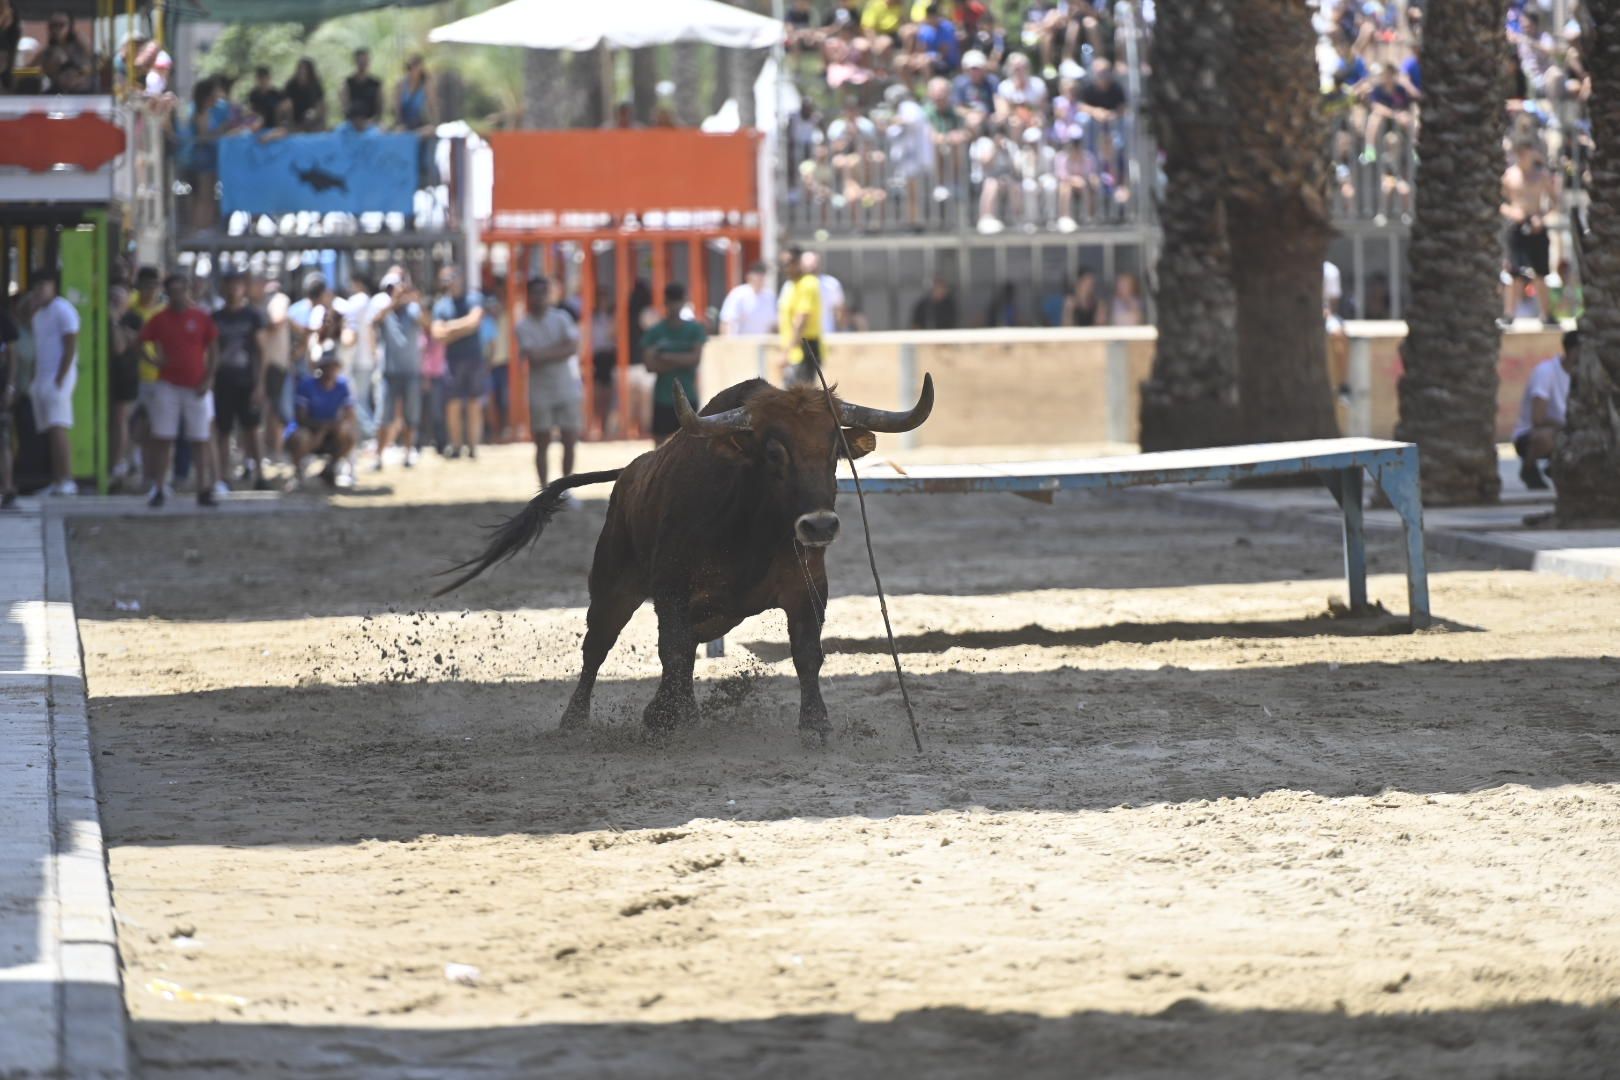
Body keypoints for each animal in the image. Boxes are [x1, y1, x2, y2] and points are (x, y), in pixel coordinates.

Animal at [440, 375, 939, 738]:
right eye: (774, 451)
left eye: (835, 450)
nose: (819, 526)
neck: (750, 525)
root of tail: (629, 473)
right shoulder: (671, 590)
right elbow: (672, 650)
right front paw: (664, 718)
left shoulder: (808, 589)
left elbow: (805, 652)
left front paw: (816, 723)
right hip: (612, 588)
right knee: (598, 648)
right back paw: (575, 721)